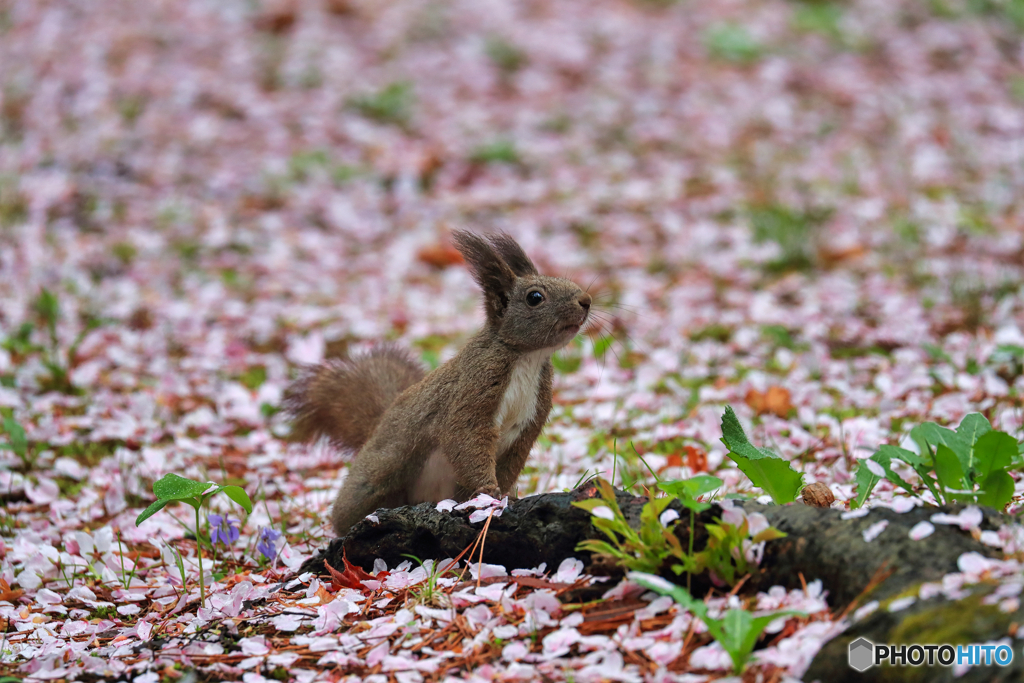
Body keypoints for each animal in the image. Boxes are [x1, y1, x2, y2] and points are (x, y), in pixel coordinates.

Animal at [286, 232, 593, 536]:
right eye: (535, 297)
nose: (586, 300)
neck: (527, 357)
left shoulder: (529, 419)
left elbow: (512, 460)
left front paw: (507, 496)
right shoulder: (474, 387)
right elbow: (464, 436)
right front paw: (490, 492)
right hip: (381, 473)